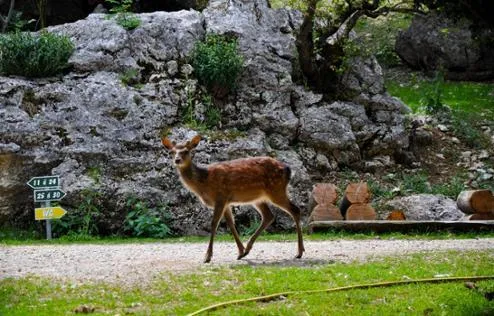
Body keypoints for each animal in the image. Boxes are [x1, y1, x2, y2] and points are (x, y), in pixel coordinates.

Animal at [162, 135, 304, 262]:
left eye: (186, 151)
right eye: (171, 152)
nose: (177, 160)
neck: (204, 182)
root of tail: (288, 169)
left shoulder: (220, 196)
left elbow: (214, 223)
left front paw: (207, 257)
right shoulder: (226, 202)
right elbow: (231, 224)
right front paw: (240, 252)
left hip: (276, 190)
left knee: (295, 210)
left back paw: (299, 252)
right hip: (259, 198)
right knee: (269, 216)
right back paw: (248, 249)